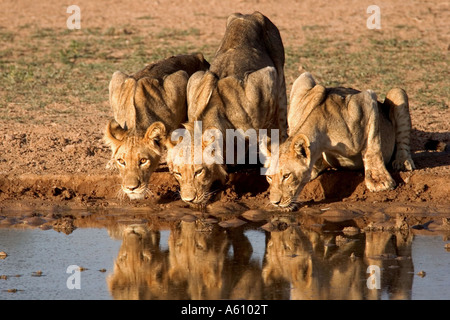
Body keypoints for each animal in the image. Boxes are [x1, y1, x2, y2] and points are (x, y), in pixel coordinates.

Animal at [104, 55, 210, 200]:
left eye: (143, 161)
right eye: (121, 161)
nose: (131, 188)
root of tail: (198, 56)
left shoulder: (179, 79)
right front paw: (112, 161)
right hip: (117, 76)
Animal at [166, 11, 288, 205]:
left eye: (198, 171)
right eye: (177, 173)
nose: (188, 200)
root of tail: (250, 14)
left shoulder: (265, 79)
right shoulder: (194, 81)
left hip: (279, 72)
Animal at [266, 73, 416, 212]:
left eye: (286, 176)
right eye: (268, 177)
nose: (275, 202)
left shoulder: (365, 100)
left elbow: (373, 145)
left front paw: (379, 181)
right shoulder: (303, 83)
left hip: (397, 93)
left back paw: (403, 161)